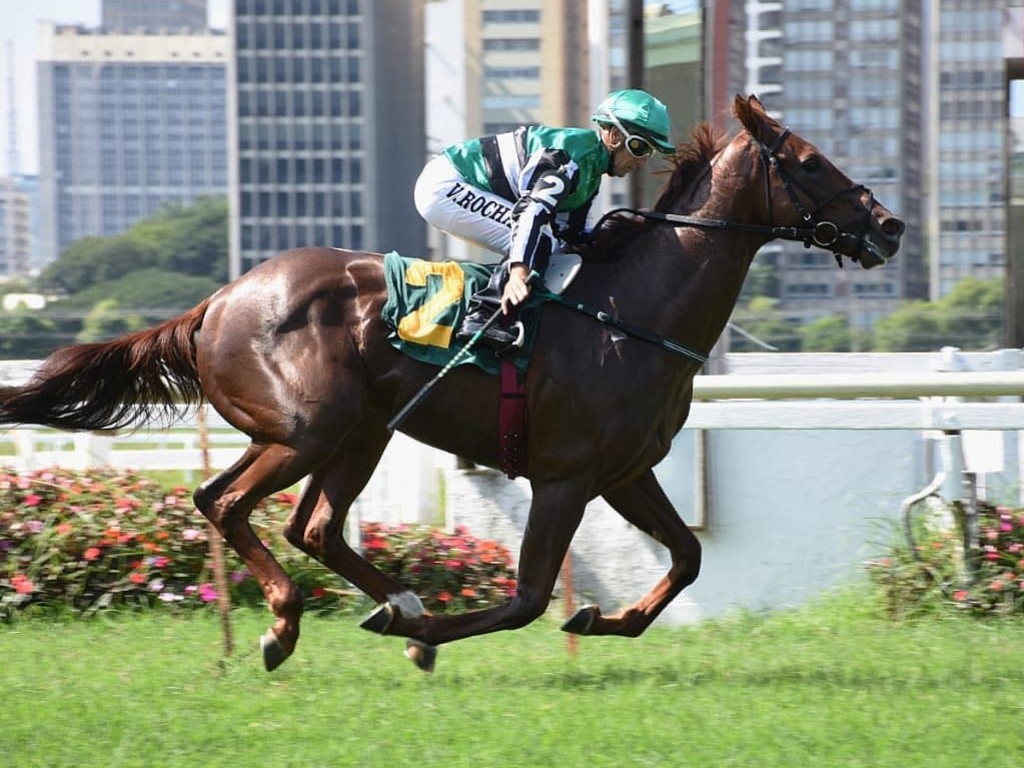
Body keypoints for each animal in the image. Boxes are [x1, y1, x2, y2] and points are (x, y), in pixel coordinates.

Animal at [0, 96, 905, 671]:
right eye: (809, 161)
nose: (890, 226)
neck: (631, 316)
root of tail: (215, 302)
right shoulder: (565, 477)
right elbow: (529, 596)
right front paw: (435, 634)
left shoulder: (624, 471)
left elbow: (686, 558)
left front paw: (602, 617)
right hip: (308, 427)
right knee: (223, 502)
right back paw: (293, 625)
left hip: (361, 430)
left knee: (312, 526)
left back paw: (397, 602)